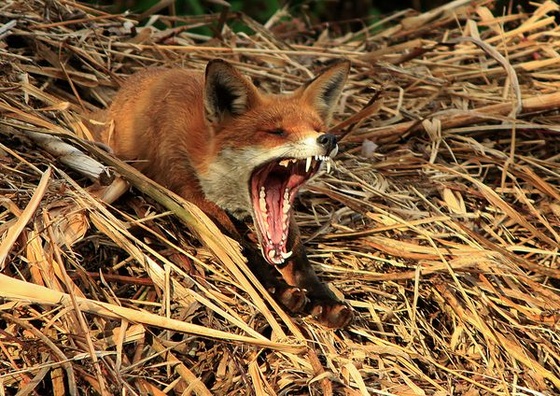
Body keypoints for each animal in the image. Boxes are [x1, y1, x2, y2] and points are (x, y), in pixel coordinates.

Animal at [93, 59, 352, 328]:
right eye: (277, 132)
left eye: (317, 128)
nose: (328, 139)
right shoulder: (190, 192)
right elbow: (240, 249)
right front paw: (276, 289)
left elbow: (299, 259)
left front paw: (324, 298)